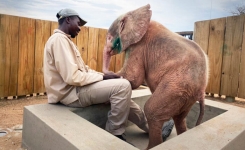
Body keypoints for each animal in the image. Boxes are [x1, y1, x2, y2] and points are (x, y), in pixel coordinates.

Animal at [103, 4, 209, 149]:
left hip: (177, 85)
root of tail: (202, 91)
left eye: (109, 38)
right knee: (179, 119)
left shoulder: (139, 46)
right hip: (186, 94)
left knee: (151, 111)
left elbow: (133, 78)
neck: (134, 14)